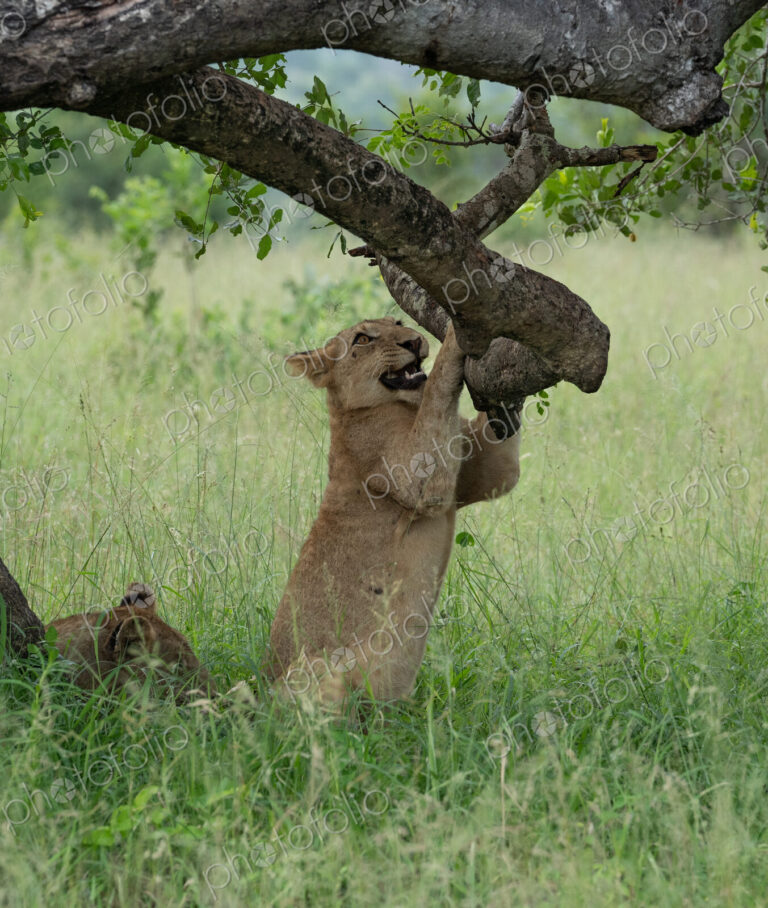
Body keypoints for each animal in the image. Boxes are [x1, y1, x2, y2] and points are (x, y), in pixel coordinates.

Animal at [265, 317, 521, 705]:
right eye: (362, 339)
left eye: (397, 322)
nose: (413, 341)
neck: (403, 406)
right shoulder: (417, 472)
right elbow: (438, 388)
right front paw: (453, 333)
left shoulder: (482, 472)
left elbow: (501, 460)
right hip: (311, 671)